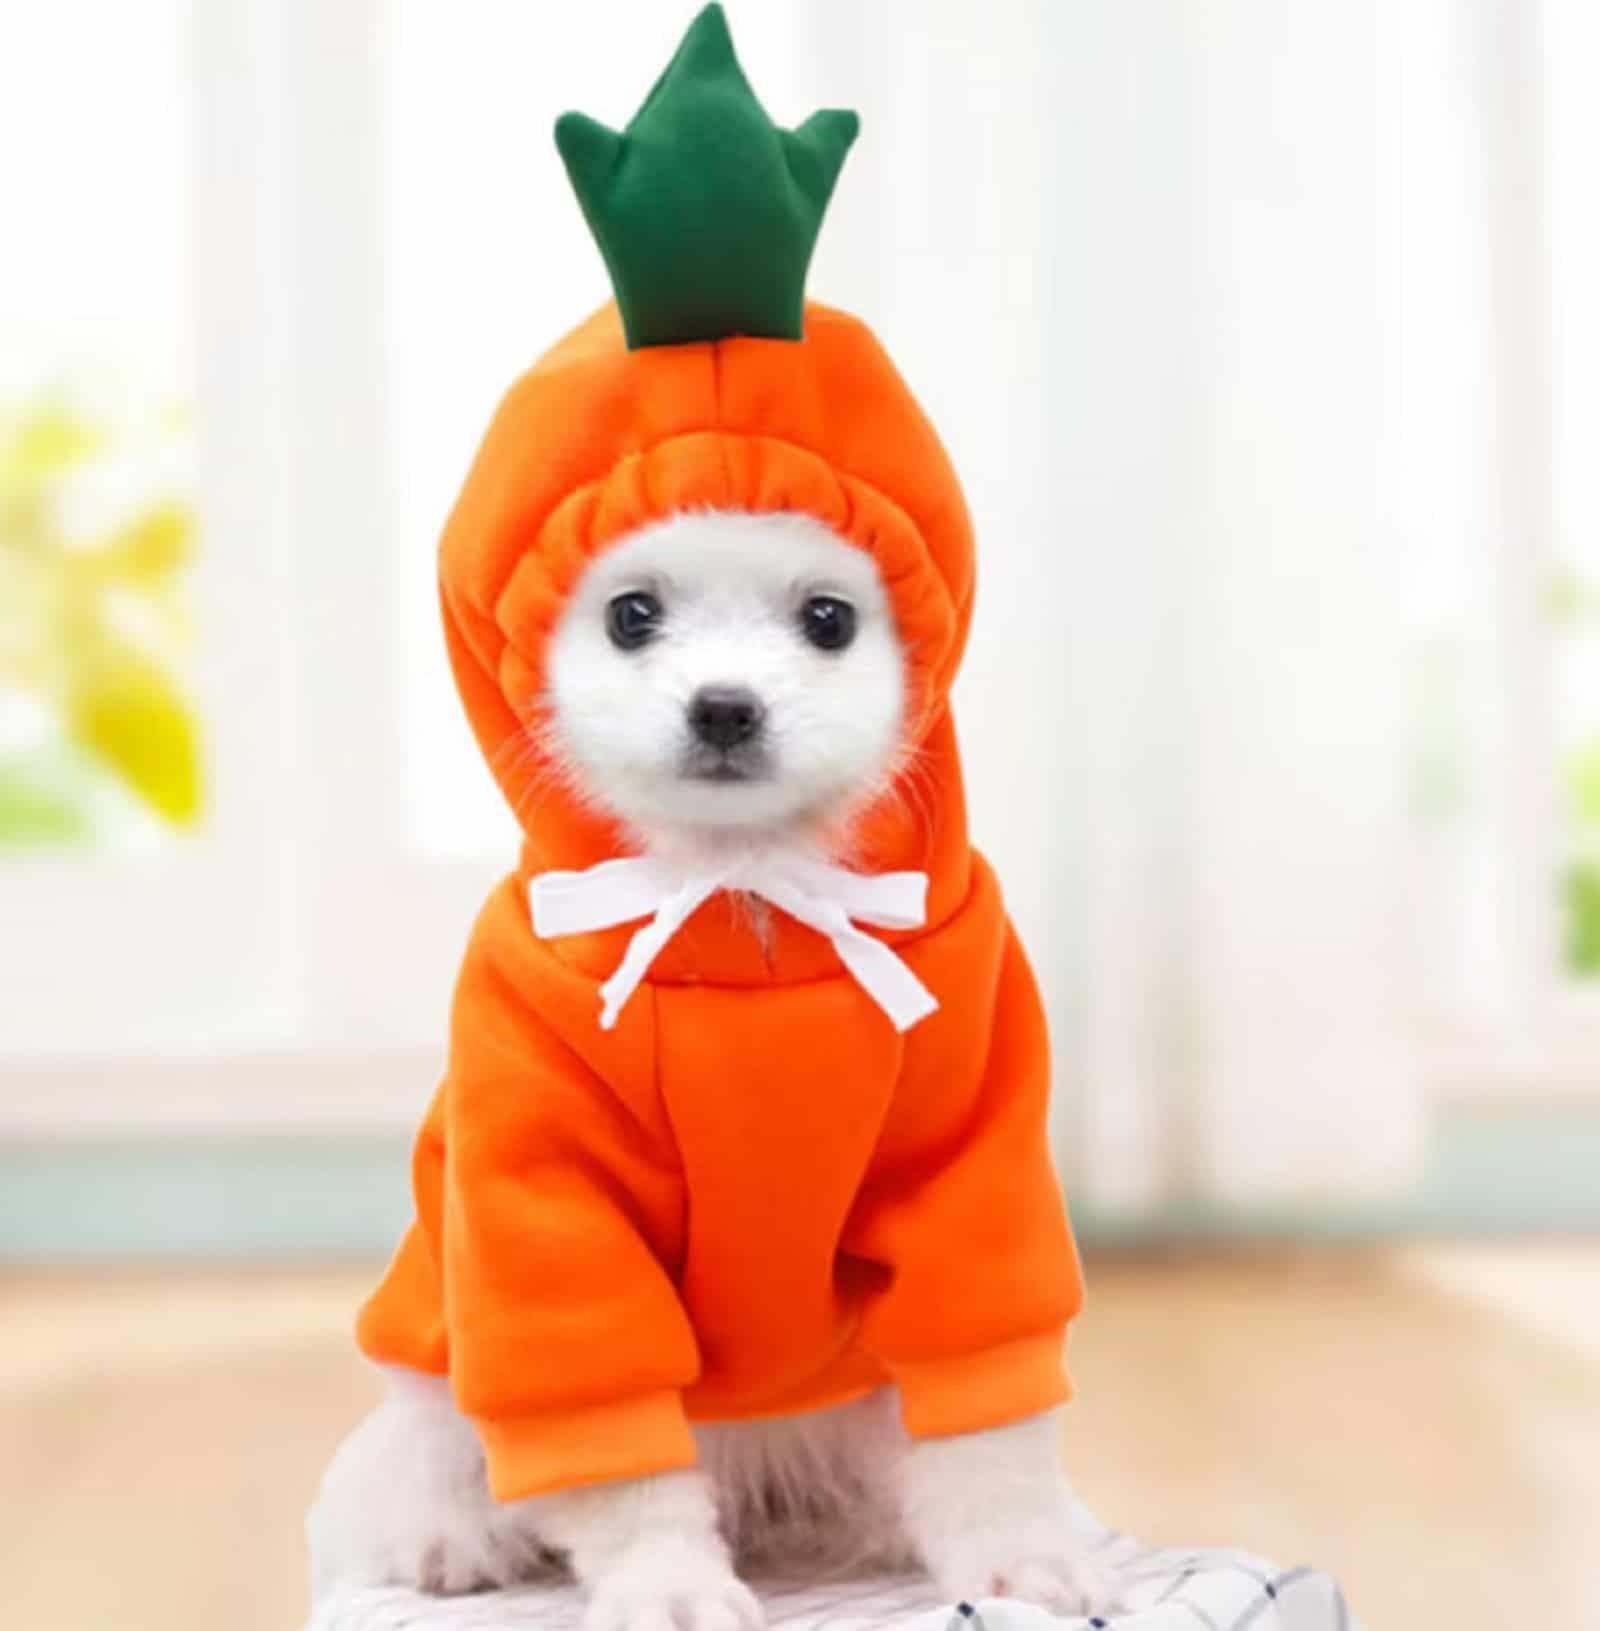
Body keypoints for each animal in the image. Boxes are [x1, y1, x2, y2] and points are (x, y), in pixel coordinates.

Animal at [308, 512, 1109, 1631]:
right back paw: (451, 1536)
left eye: (830, 618)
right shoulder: (554, 1211)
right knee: (425, 1459)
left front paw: (1020, 1551)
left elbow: (981, 1398)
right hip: (439, 1384)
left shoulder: (971, 1146)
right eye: (630, 613)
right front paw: (666, 1584)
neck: (746, 886)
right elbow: (614, 1440)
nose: (725, 705)